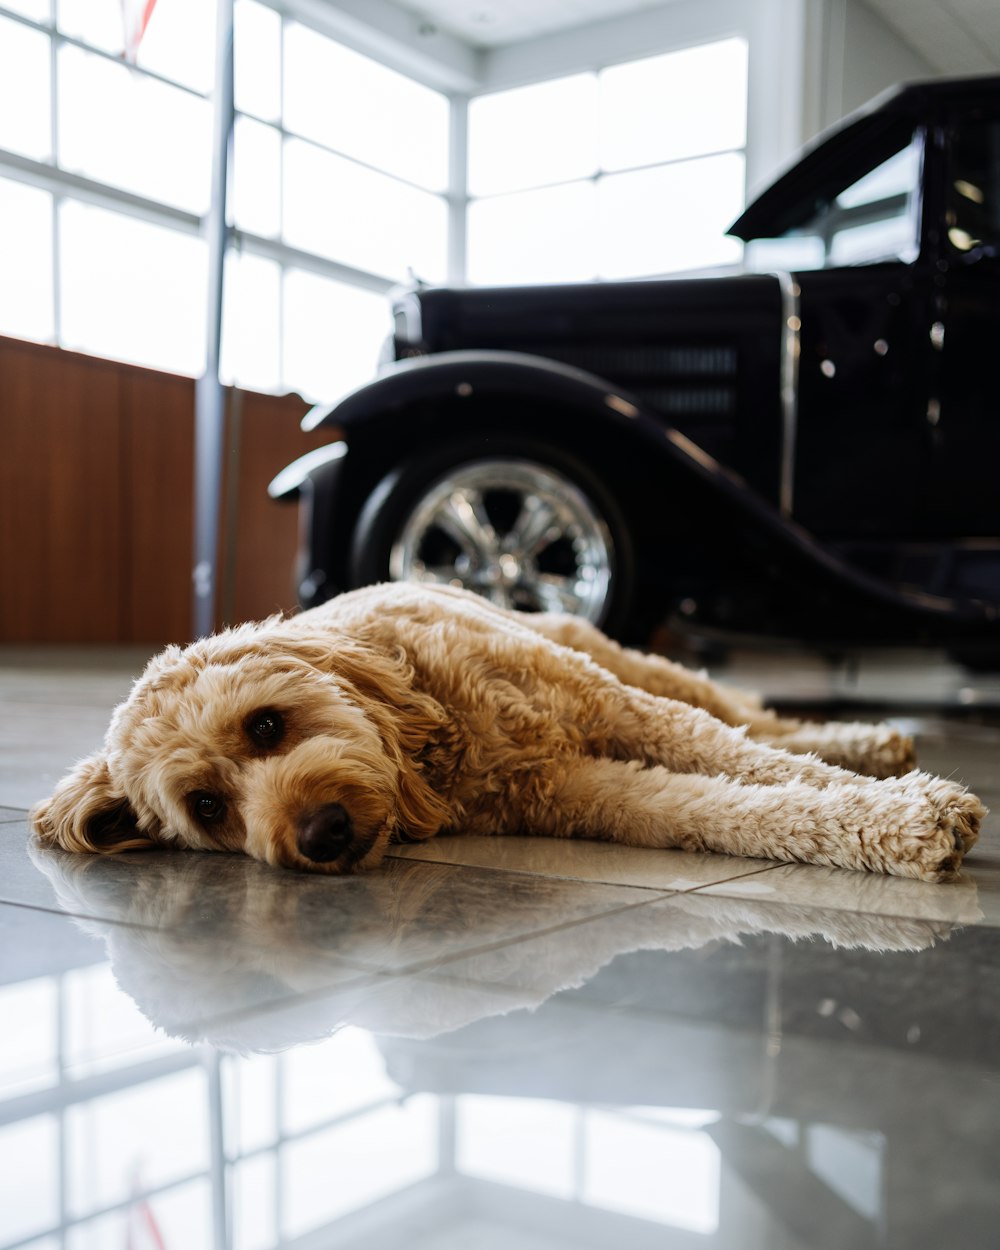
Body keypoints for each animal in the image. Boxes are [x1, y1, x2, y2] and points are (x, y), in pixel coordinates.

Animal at [31, 582, 985, 885]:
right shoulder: (581, 790)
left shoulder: (623, 712)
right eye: (207, 806)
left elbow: (746, 754)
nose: (320, 835)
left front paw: (908, 809)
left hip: (625, 663)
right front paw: (893, 826)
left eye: (266, 723)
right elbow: (728, 807)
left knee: (746, 712)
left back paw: (868, 739)